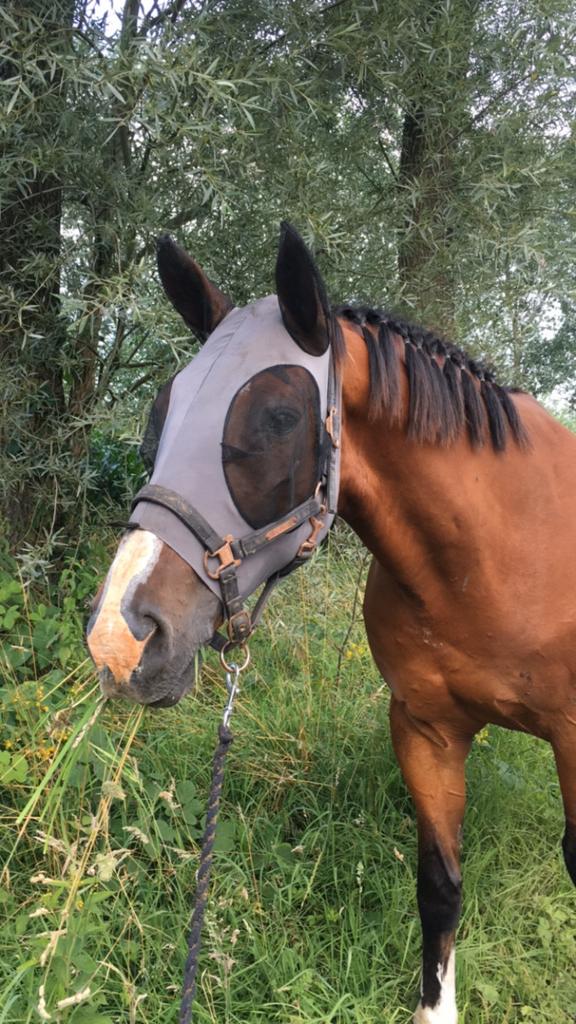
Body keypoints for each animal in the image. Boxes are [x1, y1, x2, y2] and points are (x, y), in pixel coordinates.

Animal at [87, 222, 576, 1023]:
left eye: (279, 418)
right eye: (161, 413)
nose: (119, 639)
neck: (499, 555)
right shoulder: (425, 730)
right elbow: (440, 886)